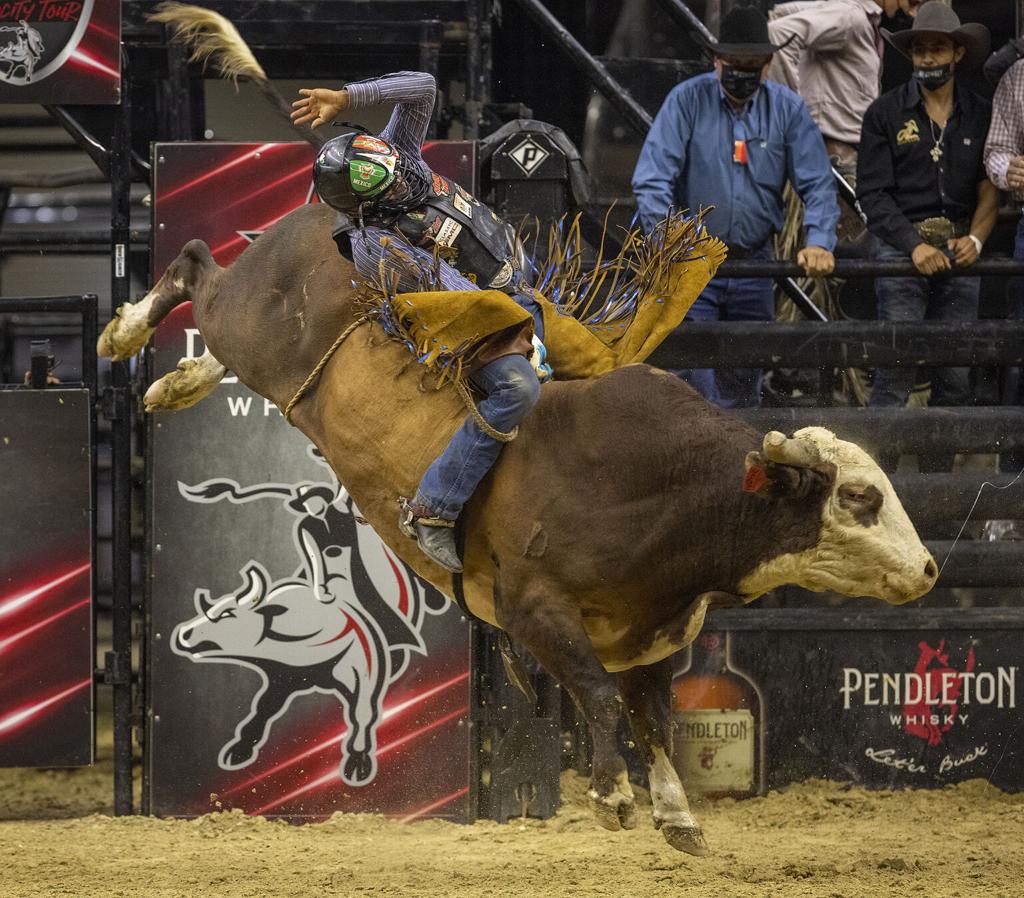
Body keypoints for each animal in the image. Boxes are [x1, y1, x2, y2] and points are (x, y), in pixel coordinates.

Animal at [100, 202, 936, 854]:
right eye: (860, 497)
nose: (928, 570)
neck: (661, 490)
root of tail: (325, 218)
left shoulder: (646, 638)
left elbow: (655, 719)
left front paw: (677, 816)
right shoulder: (535, 611)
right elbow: (598, 697)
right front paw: (612, 796)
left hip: (256, 348)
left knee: (211, 317)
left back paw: (175, 383)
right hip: (246, 317)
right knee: (195, 264)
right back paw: (126, 333)